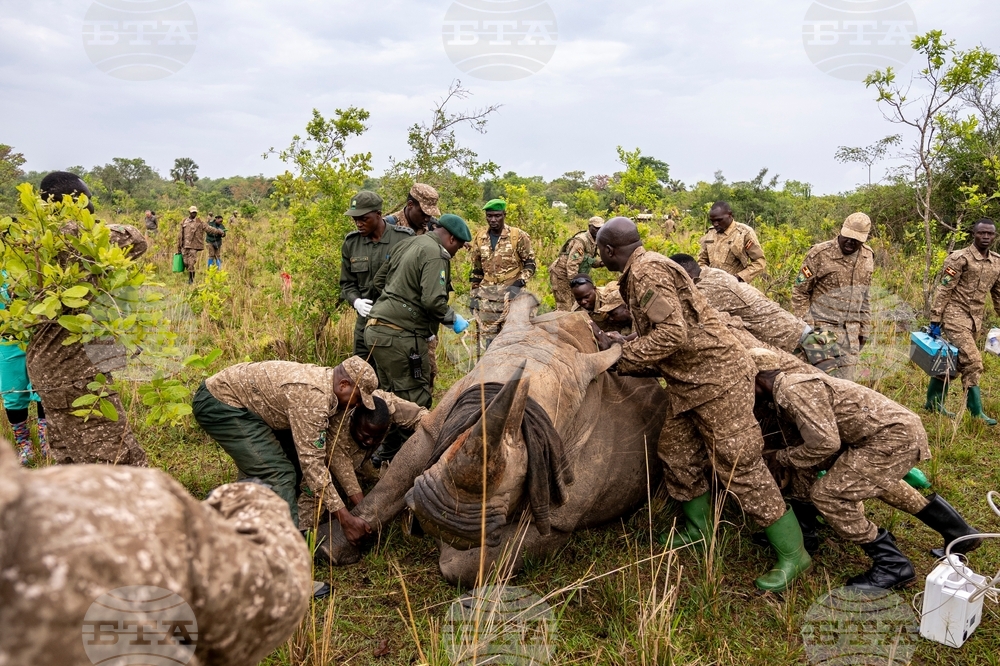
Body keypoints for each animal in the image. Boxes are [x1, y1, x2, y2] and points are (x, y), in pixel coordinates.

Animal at [319, 294, 669, 586]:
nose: (442, 520)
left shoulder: (561, 513)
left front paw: (449, 547)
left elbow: (470, 564)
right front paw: (332, 545)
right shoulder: (436, 425)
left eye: (524, 473)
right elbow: (391, 482)